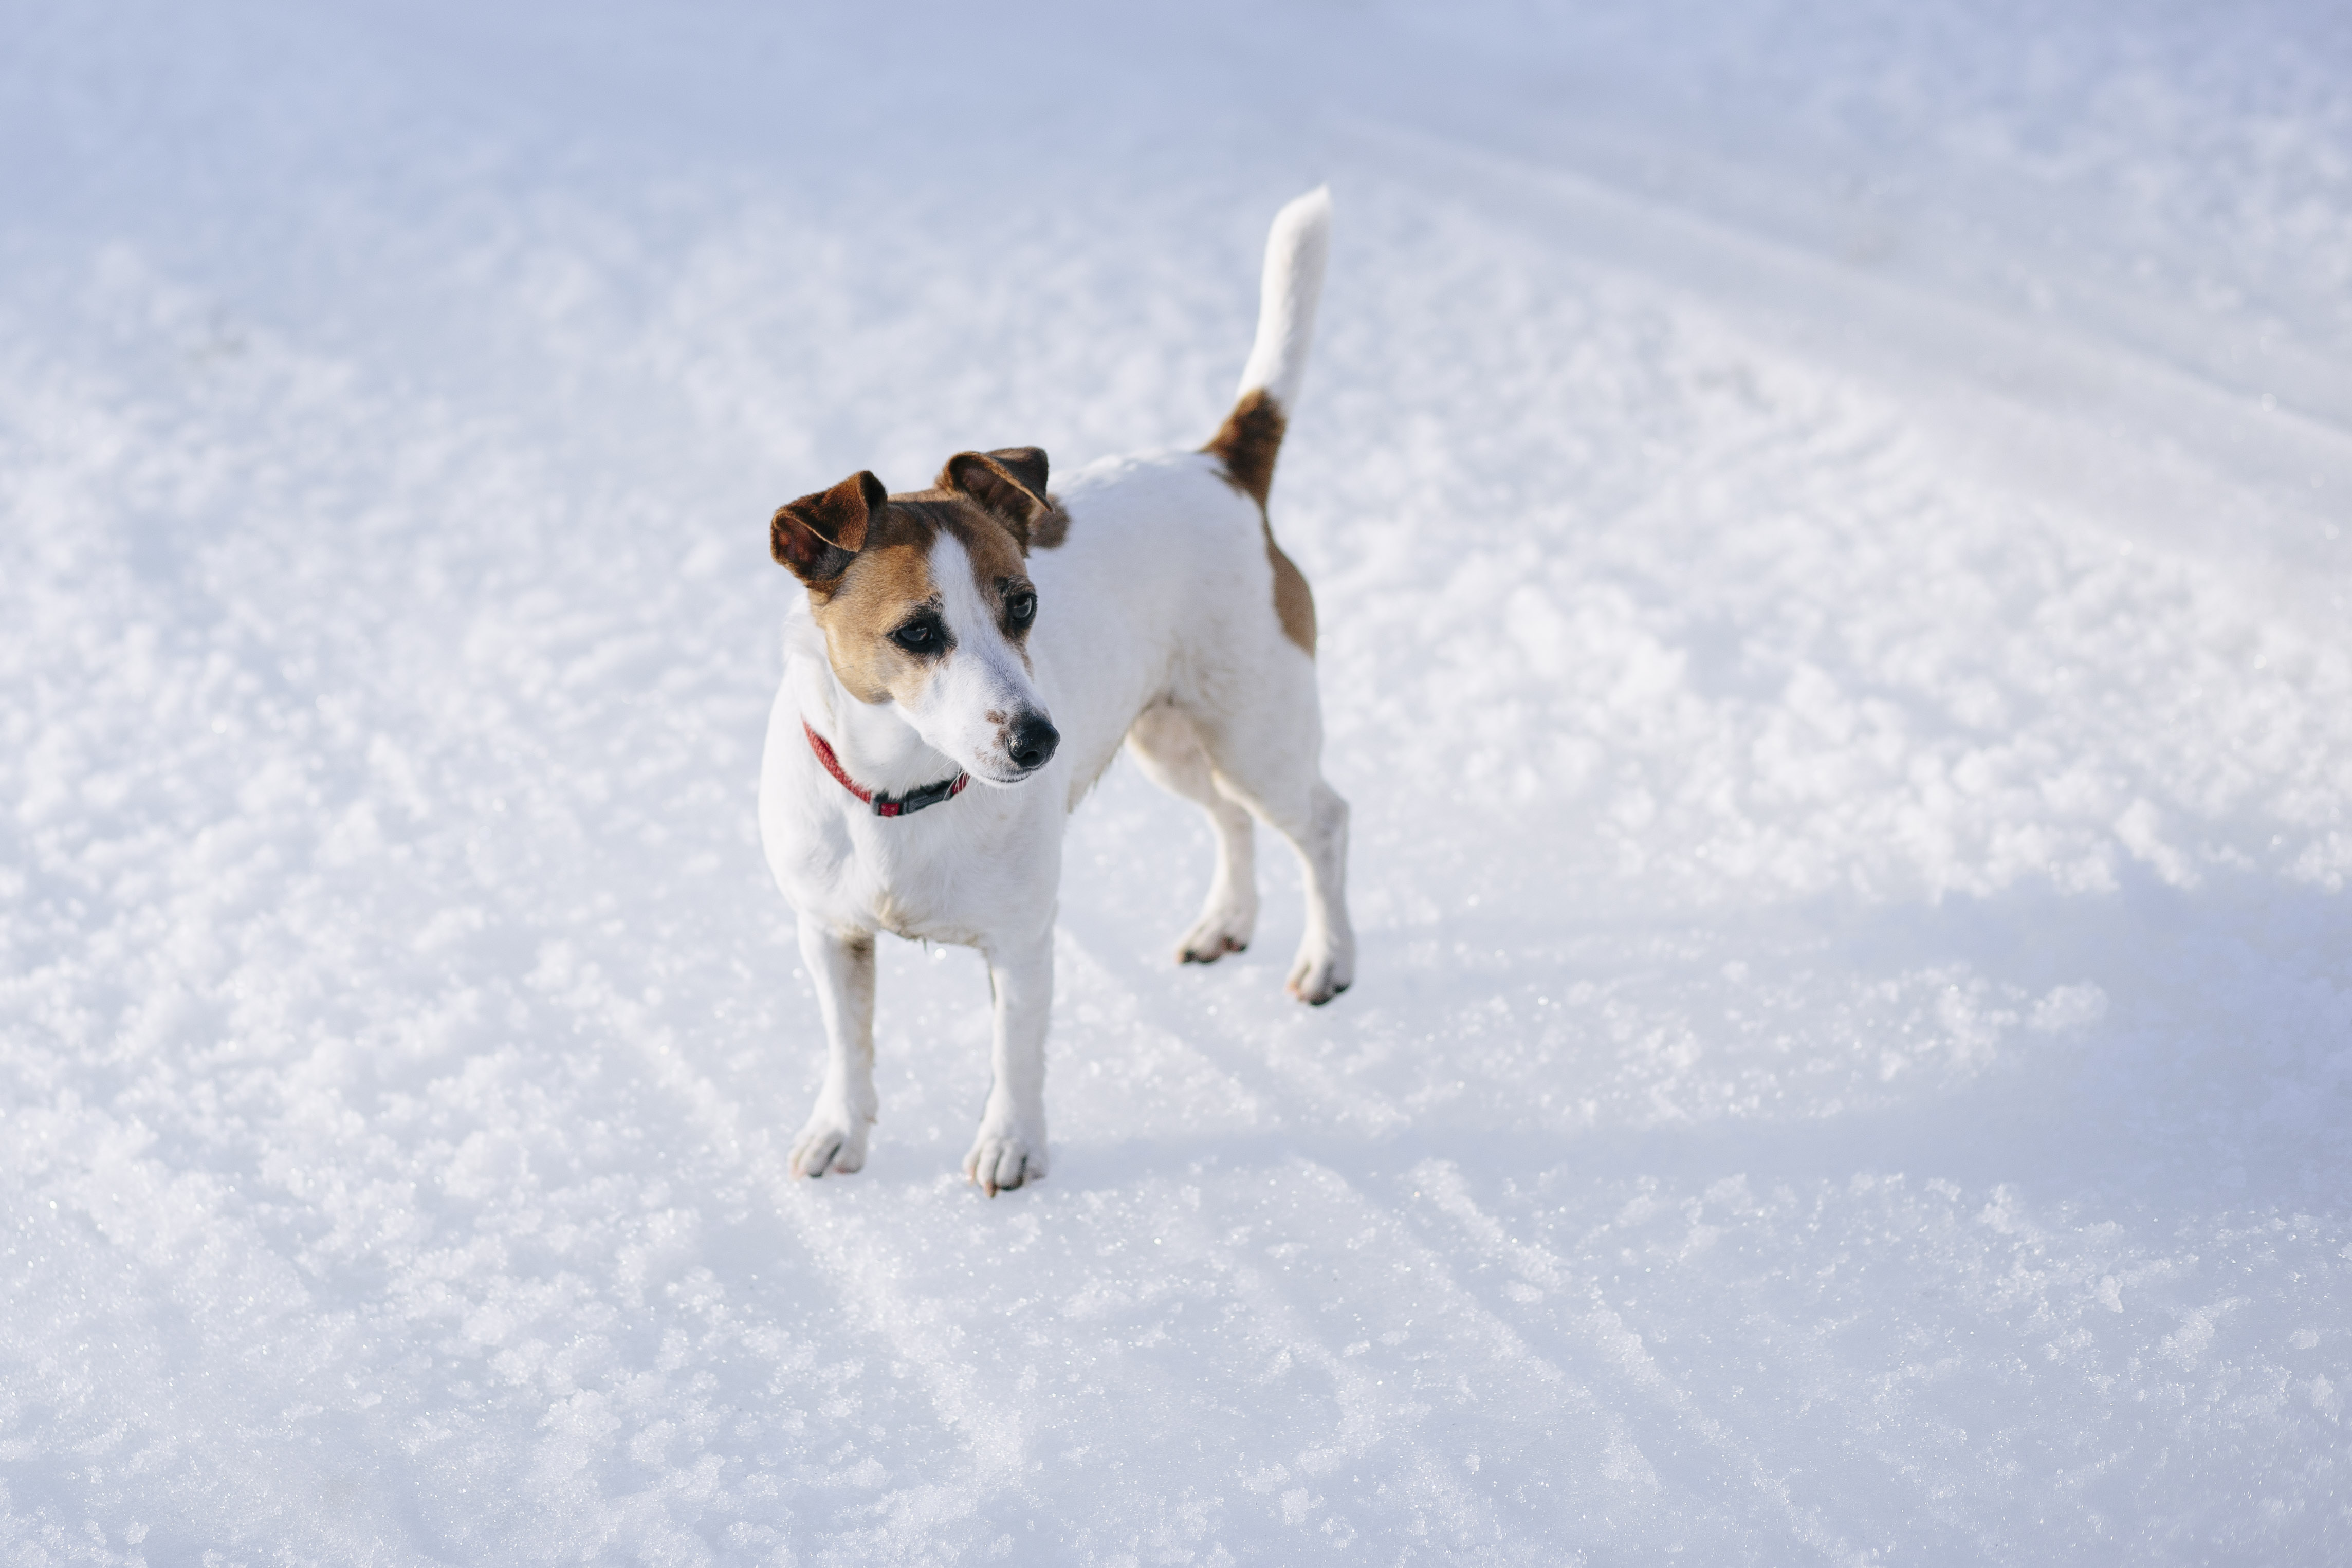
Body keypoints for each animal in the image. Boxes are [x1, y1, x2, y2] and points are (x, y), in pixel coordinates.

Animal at [752, 190, 1345, 1194]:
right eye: (917, 633)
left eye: (1024, 603)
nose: (1040, 743)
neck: (902, 793)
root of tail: (1218, 464)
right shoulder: (829, 932)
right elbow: (847, 1043)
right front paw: (840, 1130)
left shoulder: (1024, 940)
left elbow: (1015, 1053)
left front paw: (1011, 1144)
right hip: (1169, 739)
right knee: (1229, 817)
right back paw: (1226, 923)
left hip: (1255, 728)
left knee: (1321, 821)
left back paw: (1328, 961)